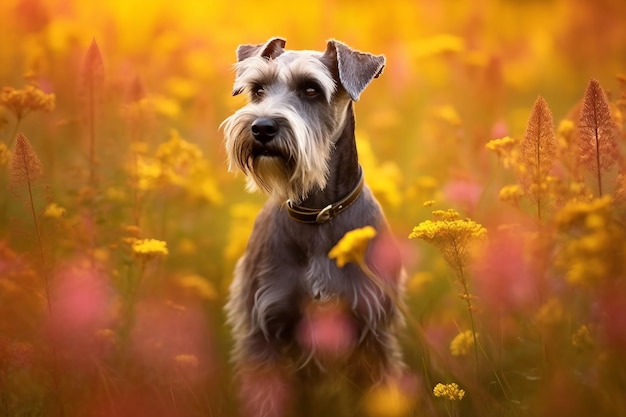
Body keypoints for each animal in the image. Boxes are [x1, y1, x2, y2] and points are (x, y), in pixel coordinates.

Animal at [219, 38, 404, 416]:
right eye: (257, 89)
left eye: (311, 89)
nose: (261, 127)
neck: (318, 213)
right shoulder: (264, 329)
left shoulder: (373, 328)